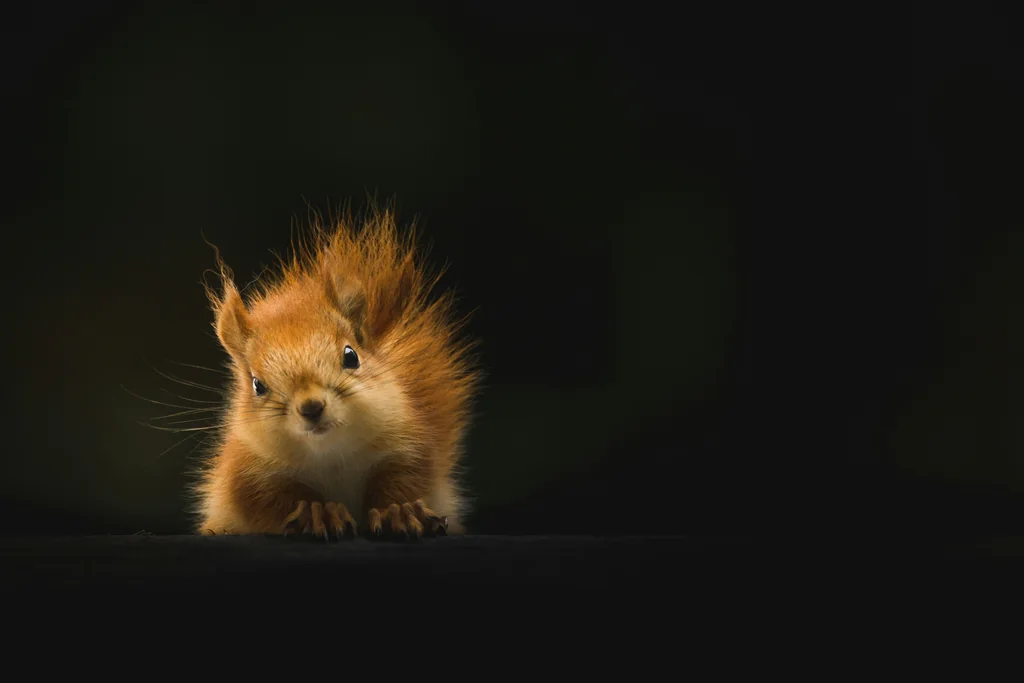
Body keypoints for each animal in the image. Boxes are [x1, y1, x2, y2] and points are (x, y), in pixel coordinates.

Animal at [190, 204, 481, 539]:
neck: (331, 455)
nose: (311, 407)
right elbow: (271, 499)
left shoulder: (408, 444)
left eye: (351, 356)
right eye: (257, 385)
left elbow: (405, 479)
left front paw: (400, 511)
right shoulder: (247, 472)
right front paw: (318, 512)